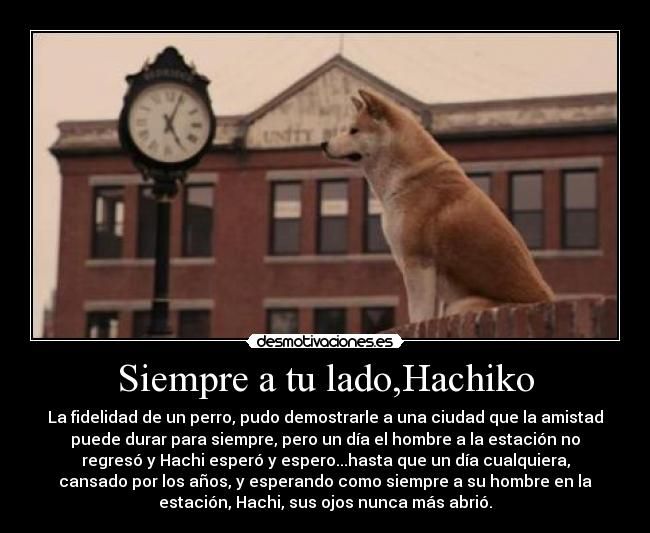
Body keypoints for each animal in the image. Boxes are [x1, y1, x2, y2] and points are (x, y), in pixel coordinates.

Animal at [318, 88, 552, 320]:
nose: (323, 144)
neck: (405, 177)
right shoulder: (431, 280)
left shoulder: (418, 263)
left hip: (459, 305)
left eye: (354, 130)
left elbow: (418, 316)